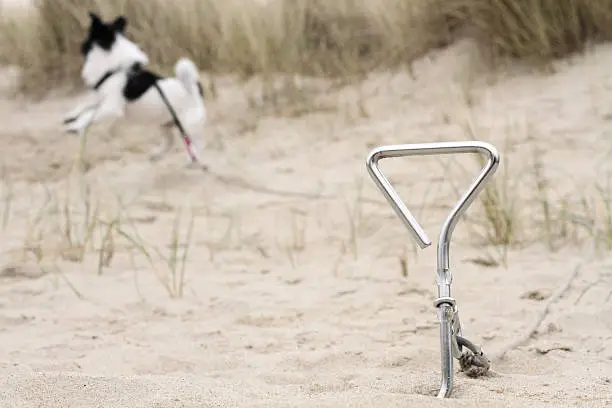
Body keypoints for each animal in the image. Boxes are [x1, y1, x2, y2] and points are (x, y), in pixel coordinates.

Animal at [63, 12, 206, 166]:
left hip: (188, 126)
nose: (81, 46)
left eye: (87, 41)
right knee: (170, 140)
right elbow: (85, 105)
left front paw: (76, 126)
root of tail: (195, 88)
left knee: (197, 143)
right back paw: (157, 154)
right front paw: (71, 117)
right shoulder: (101, 99)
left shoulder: (111, 108)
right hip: (164, 124)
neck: (115, 68)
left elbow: (89, 115)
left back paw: (191, 160)